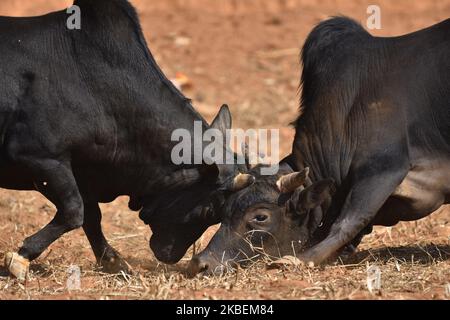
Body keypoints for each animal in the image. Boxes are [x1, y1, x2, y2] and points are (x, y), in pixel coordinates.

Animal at [0, 0, 255, 278]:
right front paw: (20, 257)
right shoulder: (42, 159)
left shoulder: (82, 171)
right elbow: (74, 212)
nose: (171, 256)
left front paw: (112, 260)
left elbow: (92, 215)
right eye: (209, 210)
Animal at [189, 16, 450, 276]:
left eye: (260, 216)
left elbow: (350, 220)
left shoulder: (384, 168)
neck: (346, 113)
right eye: (226, 207)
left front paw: (299, 260)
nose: (200, 263)